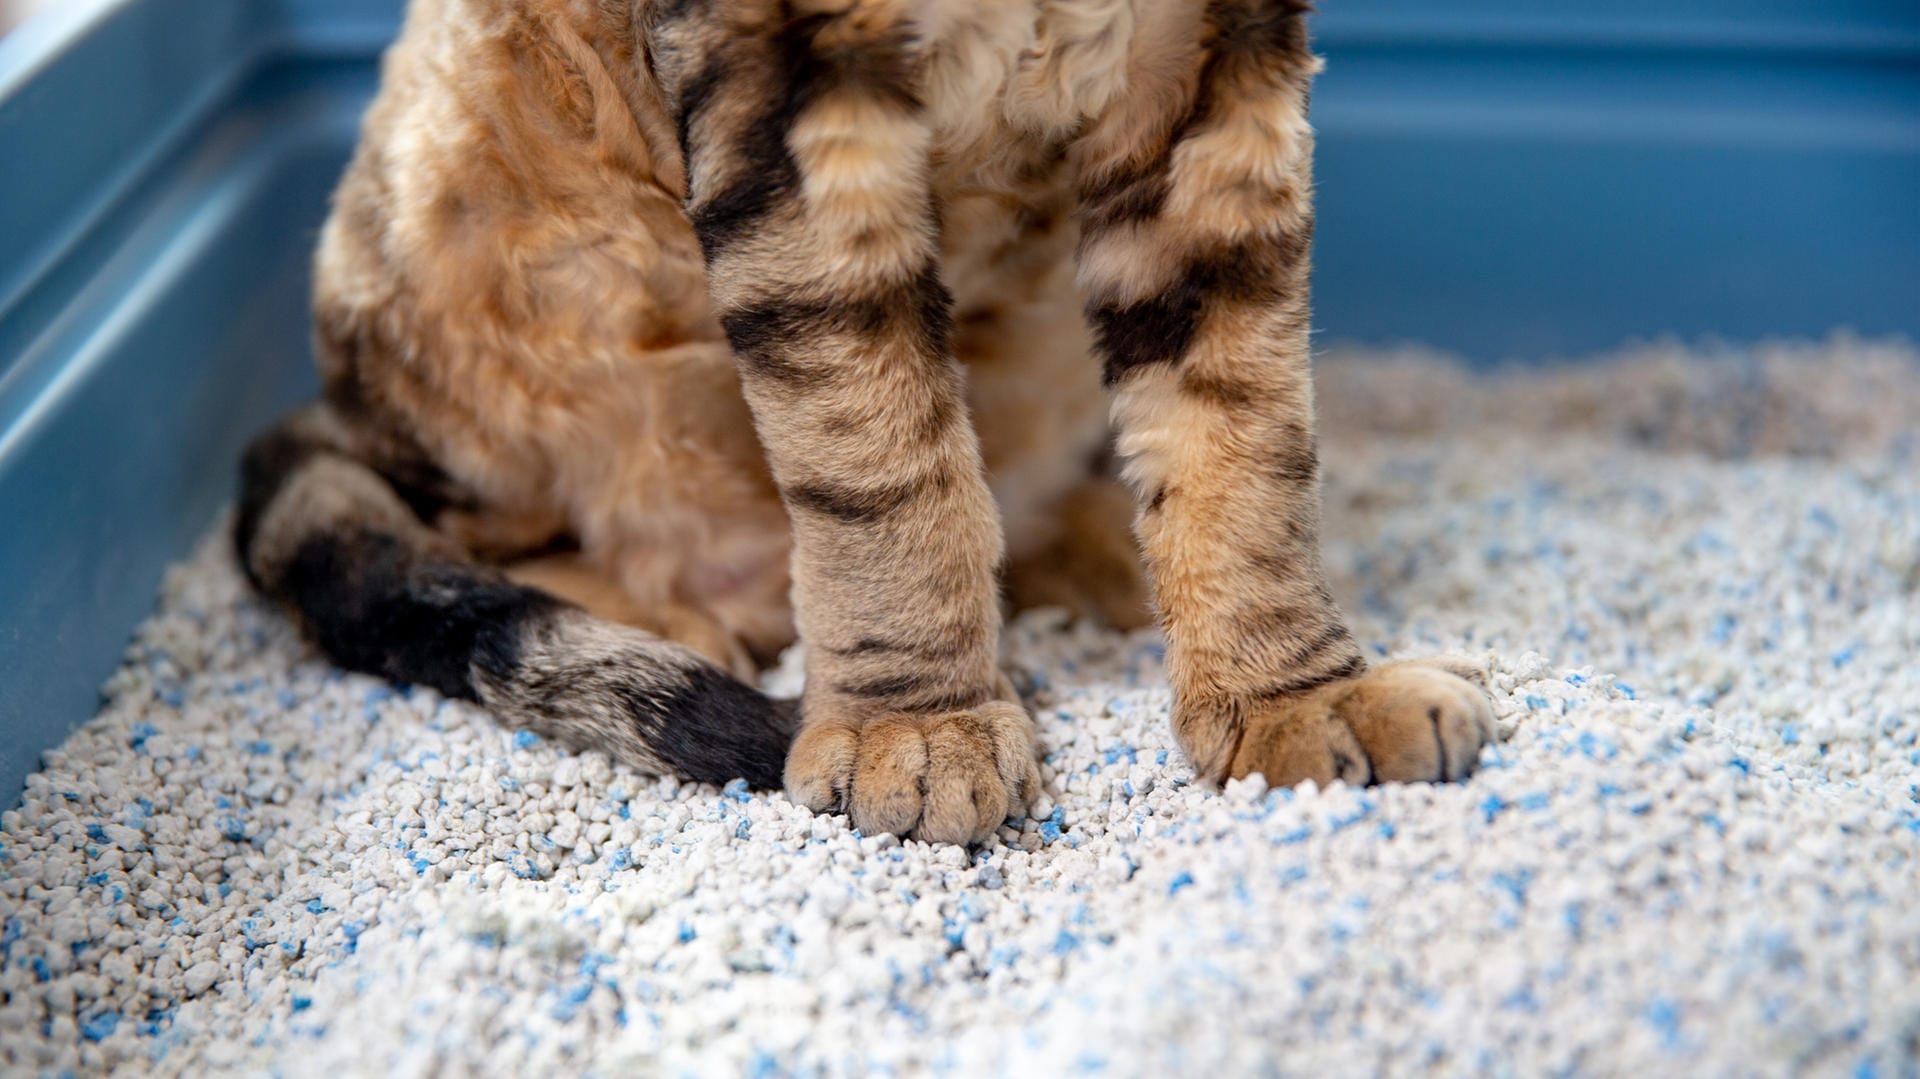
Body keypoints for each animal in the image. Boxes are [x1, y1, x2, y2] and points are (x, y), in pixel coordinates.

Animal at [236, 0, 1497, 840]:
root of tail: (320, 411)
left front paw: (1293, 695)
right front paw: (917, 726)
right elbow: (876, 451)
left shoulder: (1209, 79)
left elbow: (1242, 433)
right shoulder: (791, 96)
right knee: (500, 536)